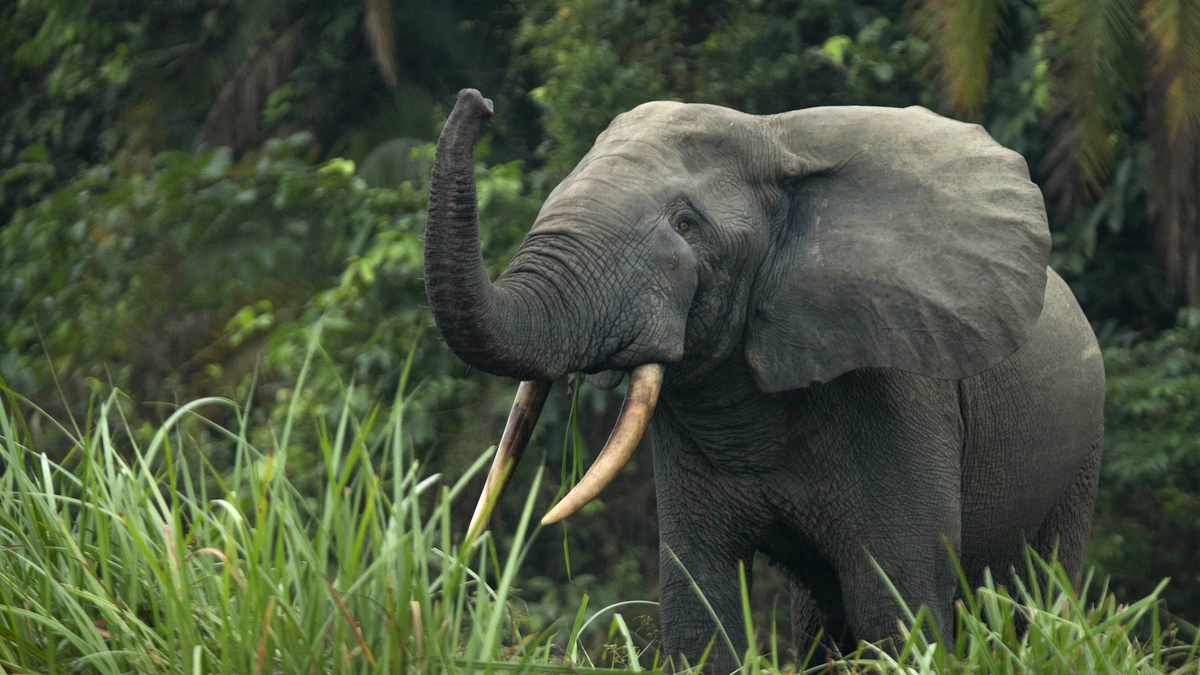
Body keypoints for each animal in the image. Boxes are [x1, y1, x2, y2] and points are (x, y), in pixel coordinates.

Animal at [423, 89, 1105, 671]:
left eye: (687, 224)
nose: (478, 103)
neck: (776, 141)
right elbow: (699, 607)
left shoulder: (901, 393)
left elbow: (896, 603)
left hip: (1082, 453)